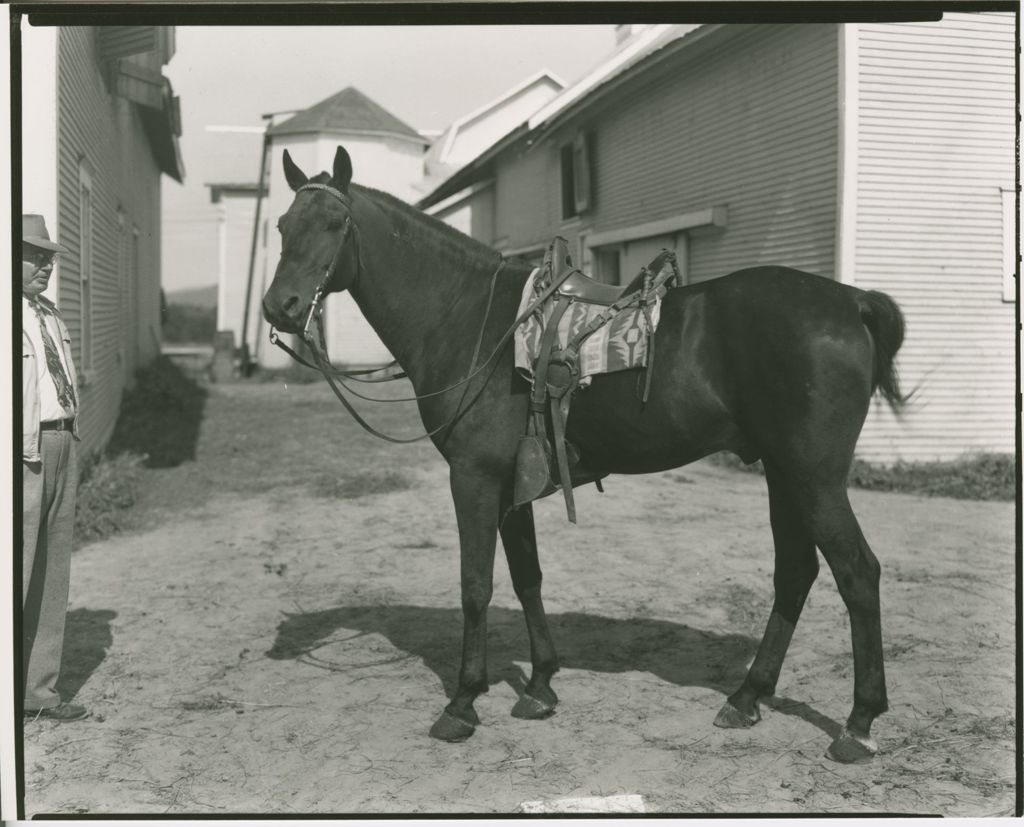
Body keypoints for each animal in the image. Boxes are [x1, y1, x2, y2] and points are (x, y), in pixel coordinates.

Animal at [262, 145, 905, 765]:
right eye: (282, 225)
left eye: (335, 223)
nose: (280, 307)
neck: (470, 320)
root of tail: (852, 302)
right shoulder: (511, 483)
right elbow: (527, 577)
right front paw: (540, 685)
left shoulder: (473, 478)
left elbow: (476, 586)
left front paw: (464, 702)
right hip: (782, 474)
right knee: (795, 573)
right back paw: (747, 698)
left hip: (813, 478)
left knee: (858, 574)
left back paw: (858, 724)